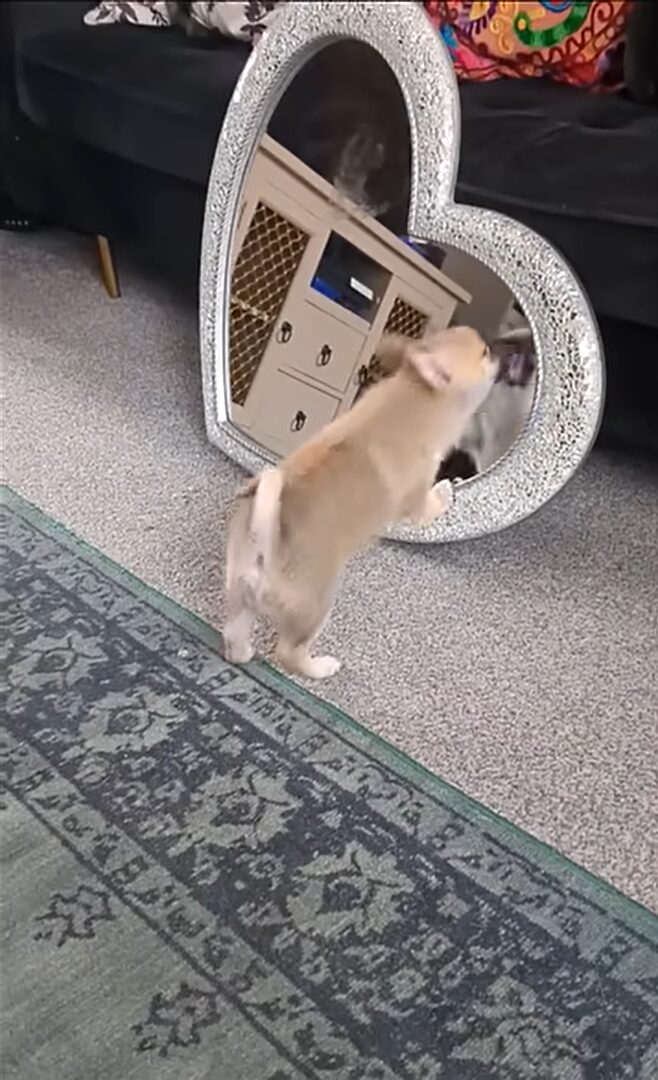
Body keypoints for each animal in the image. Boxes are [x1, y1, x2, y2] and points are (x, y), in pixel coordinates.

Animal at [223, 326, 498, 679]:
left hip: (239, 595)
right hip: (316, 606)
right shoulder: (417, 497)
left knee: (234, 633)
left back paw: (242, 653)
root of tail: (263, 546)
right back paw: (321, 667)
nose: (504, 352)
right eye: (484, 353)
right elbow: (431, 504)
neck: (417, 395)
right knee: (289, 652)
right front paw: (447, 491)